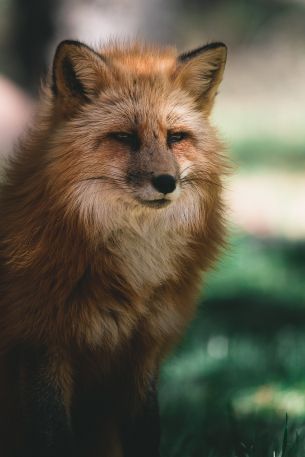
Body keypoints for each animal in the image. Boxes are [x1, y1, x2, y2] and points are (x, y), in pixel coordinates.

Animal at [0, 40, 226, 456]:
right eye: (124, 138)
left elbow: (146, 433)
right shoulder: (42, 342)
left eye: (176, 138)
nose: (166, 182)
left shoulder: (143, 348)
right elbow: (55, 438)